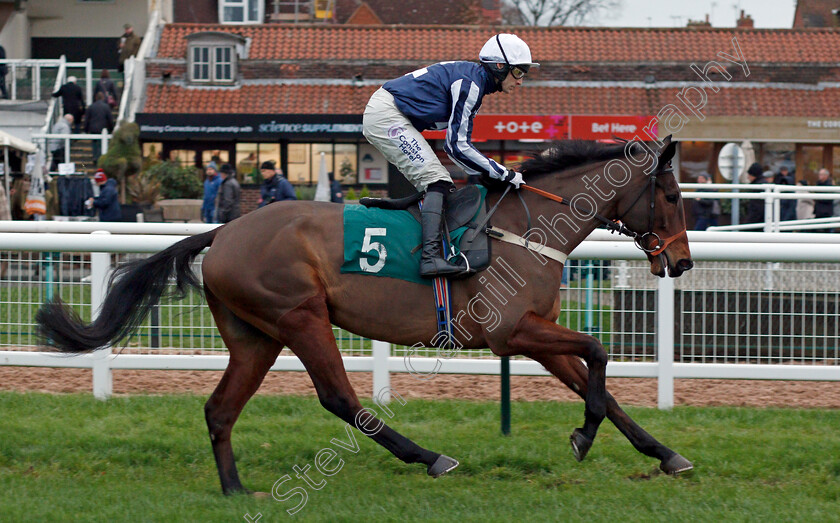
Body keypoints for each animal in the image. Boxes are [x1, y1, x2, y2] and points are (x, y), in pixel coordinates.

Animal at [37, 135, 696, 496]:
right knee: (339, 397)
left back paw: (235, 488)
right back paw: (430, 458)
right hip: (300, 316)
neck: (528, 227)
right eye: (670, 196)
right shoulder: (510, 332)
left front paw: (665, 454)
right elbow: (598, 352)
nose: (683, 262)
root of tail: (222, 231)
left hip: (255, 336)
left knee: (220, 408)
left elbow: (599, 384)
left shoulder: (534, 334)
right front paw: (583, 436)